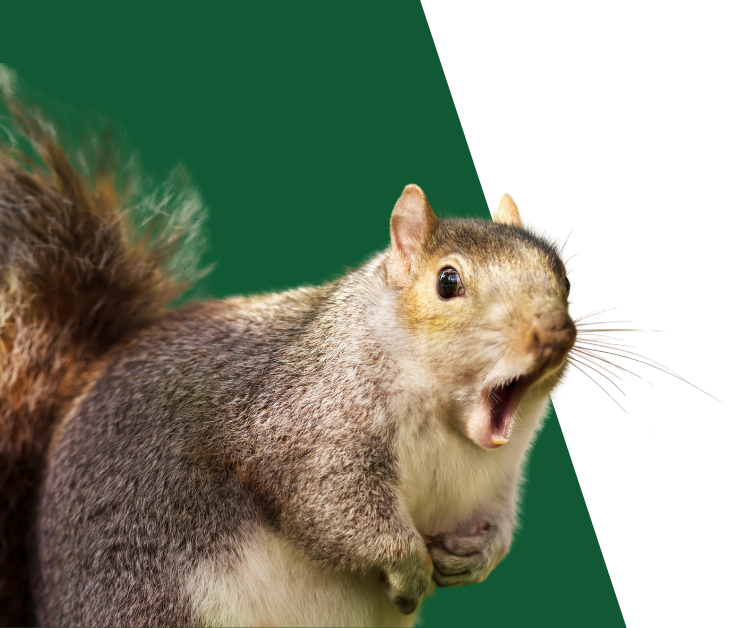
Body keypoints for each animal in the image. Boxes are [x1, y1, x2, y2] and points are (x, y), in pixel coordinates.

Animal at [0, 70, 716, 627]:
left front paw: (477, 555)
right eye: (447, 282)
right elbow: (333, 508)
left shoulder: (494, 478)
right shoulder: (309, 422)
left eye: (561, 271)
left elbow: (494, 521)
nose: (556, 333)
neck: (446, 424)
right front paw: (409, 566)